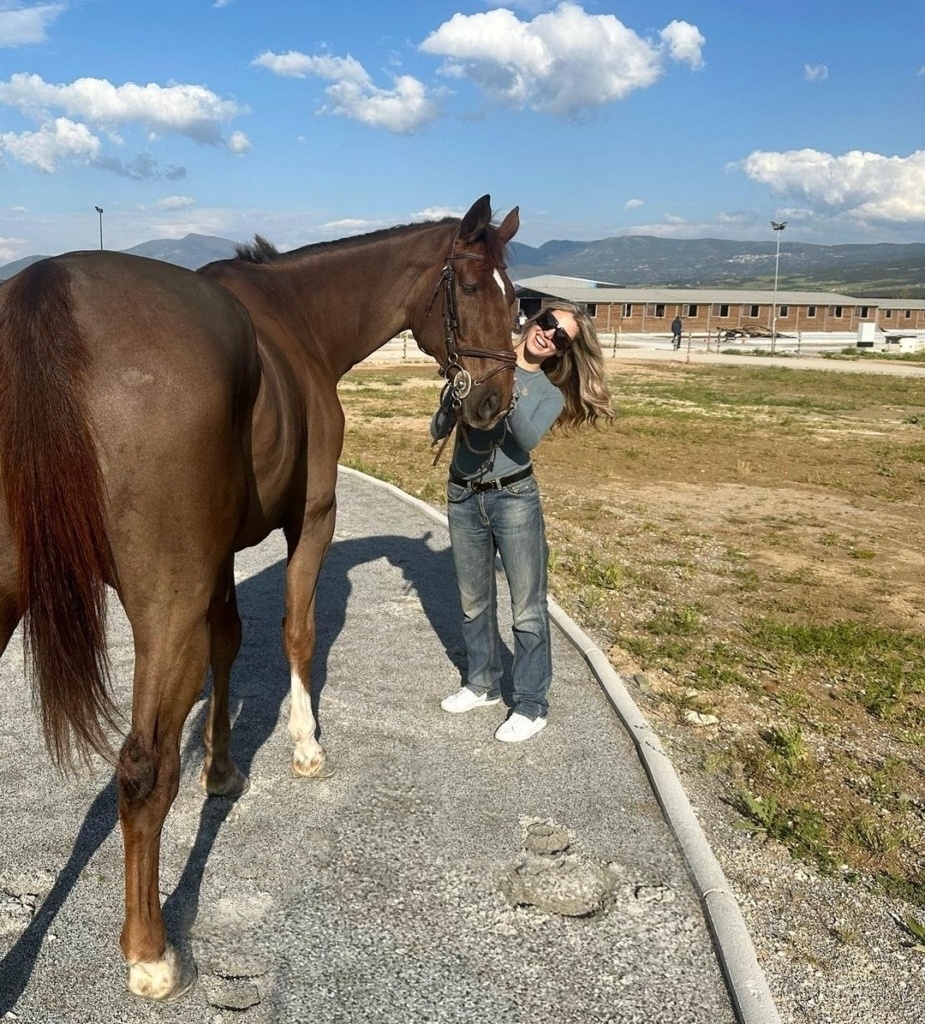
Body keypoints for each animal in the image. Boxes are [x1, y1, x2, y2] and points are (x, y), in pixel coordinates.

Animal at [0, 193, 520, 999]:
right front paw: (305, 745)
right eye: (468, 287)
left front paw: (221, 771)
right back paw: (151, 953)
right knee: (141, 770)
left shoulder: (216, 561)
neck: (295, 317)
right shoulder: (312, 518)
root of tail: (47, 285)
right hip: (164, 607)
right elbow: (294, 632)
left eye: (516, 297)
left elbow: (230, 643)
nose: (495, 404)